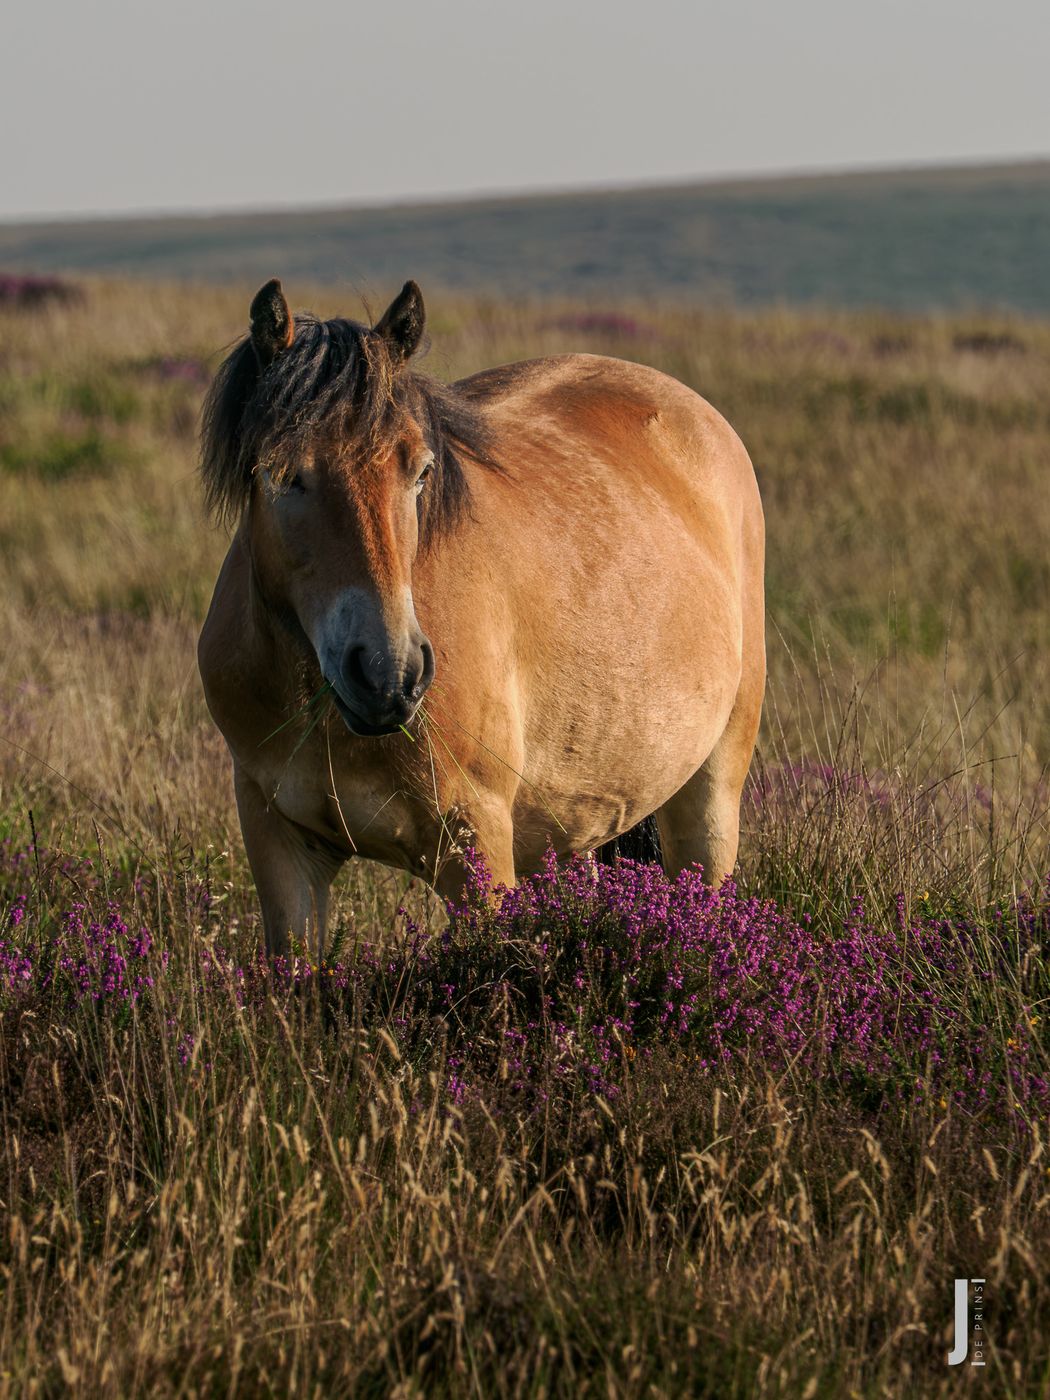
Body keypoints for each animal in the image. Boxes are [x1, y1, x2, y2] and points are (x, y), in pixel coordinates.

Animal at [198, 278, 765, 956]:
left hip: (710, 795)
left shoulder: (477, 848)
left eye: (420, 470)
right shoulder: (280, 849)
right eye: (283, 475)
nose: (388, 675)